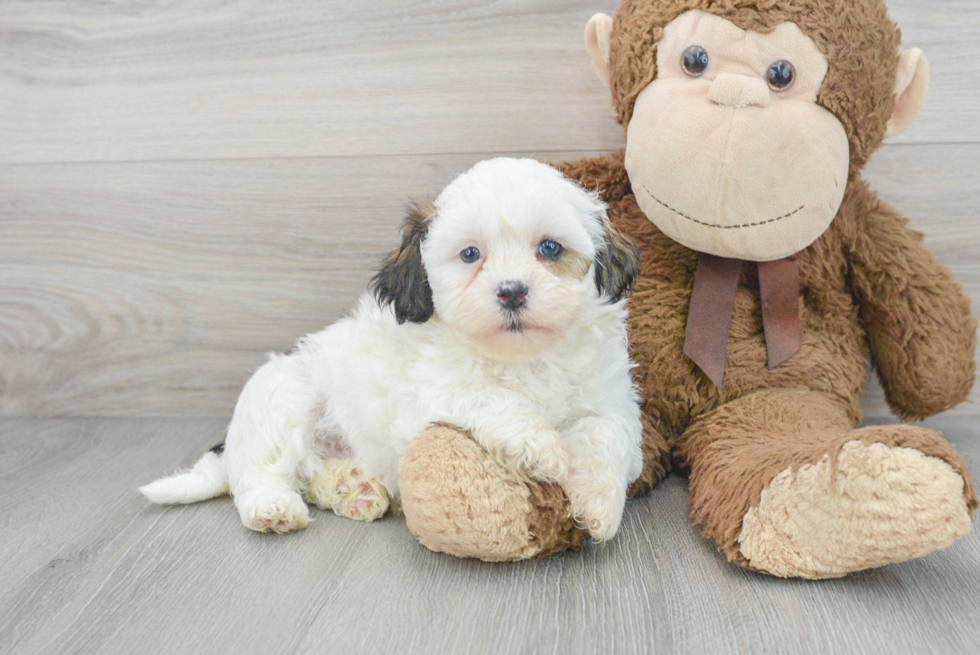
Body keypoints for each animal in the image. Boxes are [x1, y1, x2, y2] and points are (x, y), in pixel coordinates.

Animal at [138, 159, 644, 544]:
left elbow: (606, 436)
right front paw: (539, 446)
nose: (512, 291)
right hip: (281, 398)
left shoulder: (611, 399)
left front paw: (600, 505)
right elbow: (490, 397)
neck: (522, 356)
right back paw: (274, 507)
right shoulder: (430, 392)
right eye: (470, 254)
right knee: (263, 471)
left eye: (551, 248)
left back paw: (353, 489)